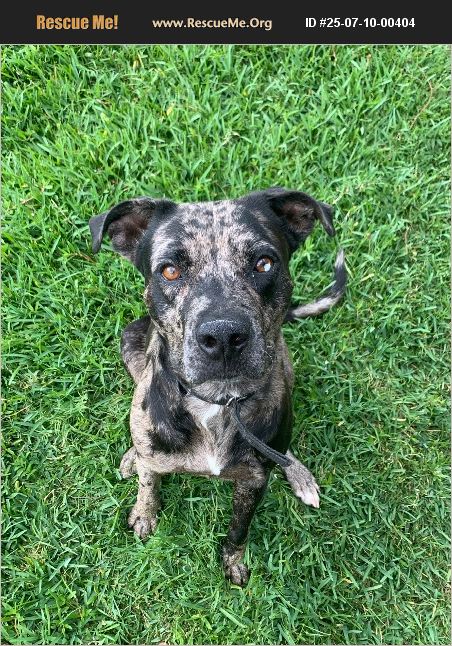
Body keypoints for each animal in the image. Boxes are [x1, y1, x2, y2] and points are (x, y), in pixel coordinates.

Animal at [89, 187, 346, 586]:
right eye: (170, 270)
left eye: (264, 263)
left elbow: (239, 529)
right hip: (130, 337)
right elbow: (149, 485)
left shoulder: (253, 482)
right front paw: (145, 513)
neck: (216, 401)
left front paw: (233, 562)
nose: (223, 336)